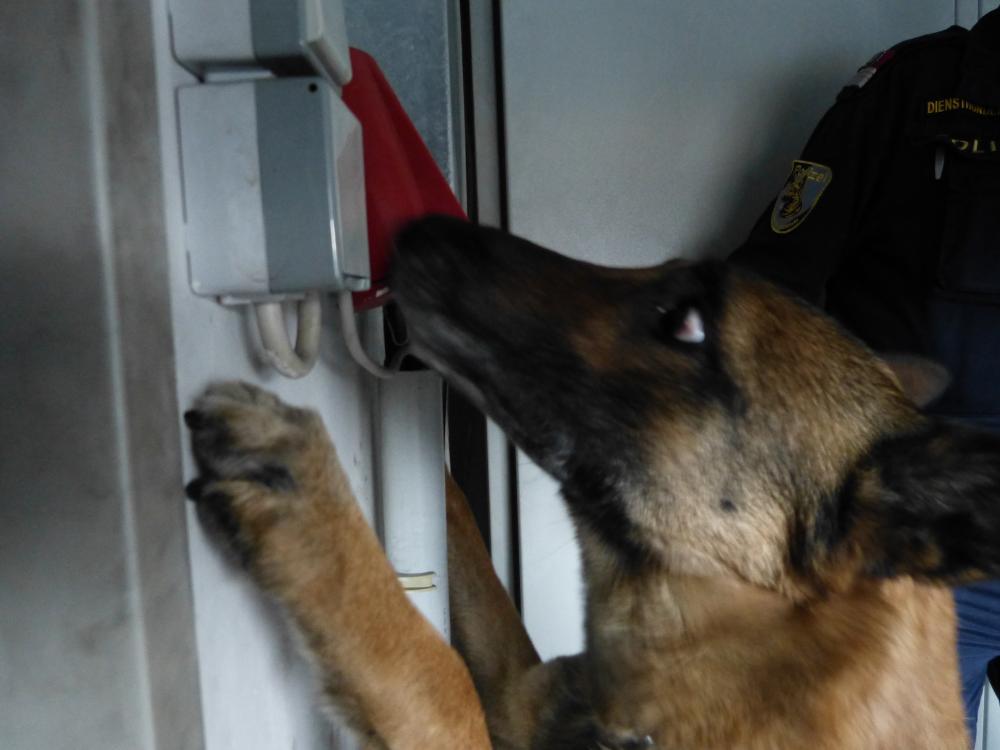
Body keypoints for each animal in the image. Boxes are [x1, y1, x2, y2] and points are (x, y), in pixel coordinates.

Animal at [185, 215, 1000, 749]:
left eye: (687, 322)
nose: (421, 225)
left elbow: (433, 674)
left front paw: (309, 498)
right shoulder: (518, 693)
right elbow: (472, 565)